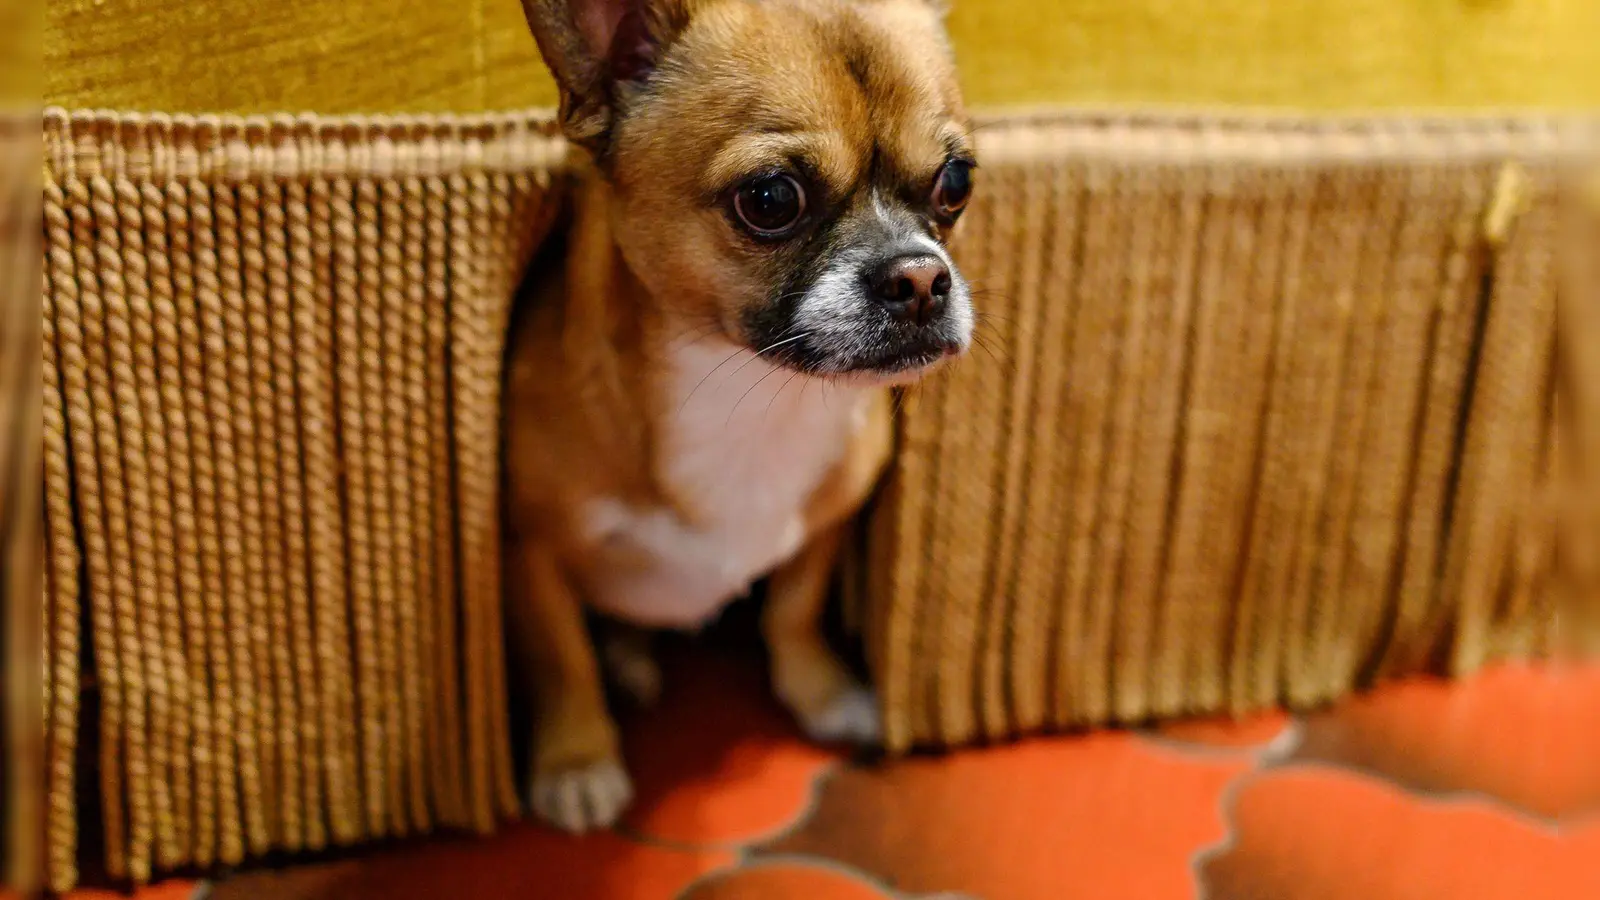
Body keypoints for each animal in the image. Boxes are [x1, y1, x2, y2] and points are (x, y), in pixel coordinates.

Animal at [505, 0, 972, 832]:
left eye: (956, 182)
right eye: (770, 200)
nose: (920, 278)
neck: (751, 392)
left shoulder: (824, 526)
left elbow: (793, 609)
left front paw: (820, 692)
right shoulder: (529, 546)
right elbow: (561, 658)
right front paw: (577, 759)